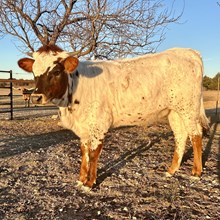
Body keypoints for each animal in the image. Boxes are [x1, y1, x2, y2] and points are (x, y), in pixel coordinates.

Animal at [18, 45, 209, 191]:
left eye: (57, 71)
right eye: (34, 72)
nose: (37, 97)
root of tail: (188, 51)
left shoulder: (99, 124)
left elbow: (94, 153)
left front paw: (89, 183)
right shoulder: (84, 128)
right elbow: (84, 152)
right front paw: (81, 179)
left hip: (189, 108)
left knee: (196, 135)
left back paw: (196, 172)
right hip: (174, 111)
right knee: (180, 135)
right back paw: (171, 170)